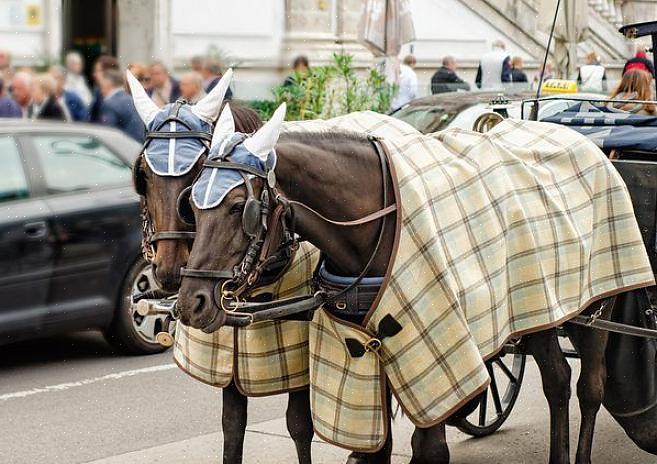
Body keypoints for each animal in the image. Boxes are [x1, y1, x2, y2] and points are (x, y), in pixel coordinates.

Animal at [127, 71, 316, 464]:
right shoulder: (230, 355)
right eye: (144, 175)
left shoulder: (300, 358)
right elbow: (232, 426)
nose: (168, 270)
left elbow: (299, 425)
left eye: (199, 170)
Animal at [176, 105, 616, 464]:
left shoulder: (430, 349)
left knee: (588, 388)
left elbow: (429, 449)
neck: (378, 218)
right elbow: (376, 448)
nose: (191, 303)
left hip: (596, 309)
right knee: (557, 380)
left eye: (240, 208)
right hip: (538, 311)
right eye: (193, 203)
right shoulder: (365, 350)